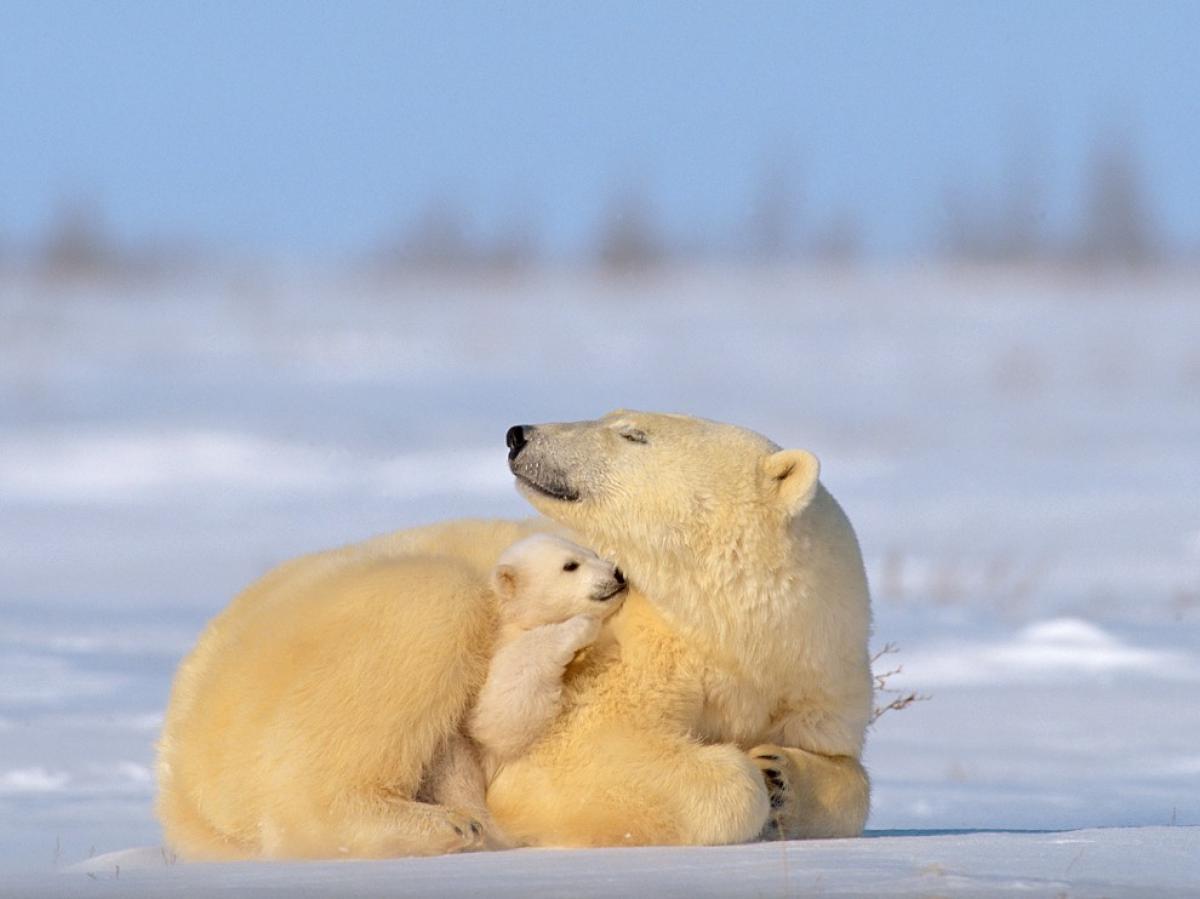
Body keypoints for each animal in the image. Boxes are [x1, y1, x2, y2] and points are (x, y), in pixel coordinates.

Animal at [157, 408, 873, 854]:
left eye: (632, 433)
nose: (518, 433)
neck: (741, 632)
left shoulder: (822, 675)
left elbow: (852, 778)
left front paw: (782, 773)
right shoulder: (621, 651)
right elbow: (573, 759)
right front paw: (747, 777)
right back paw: (447, 826)